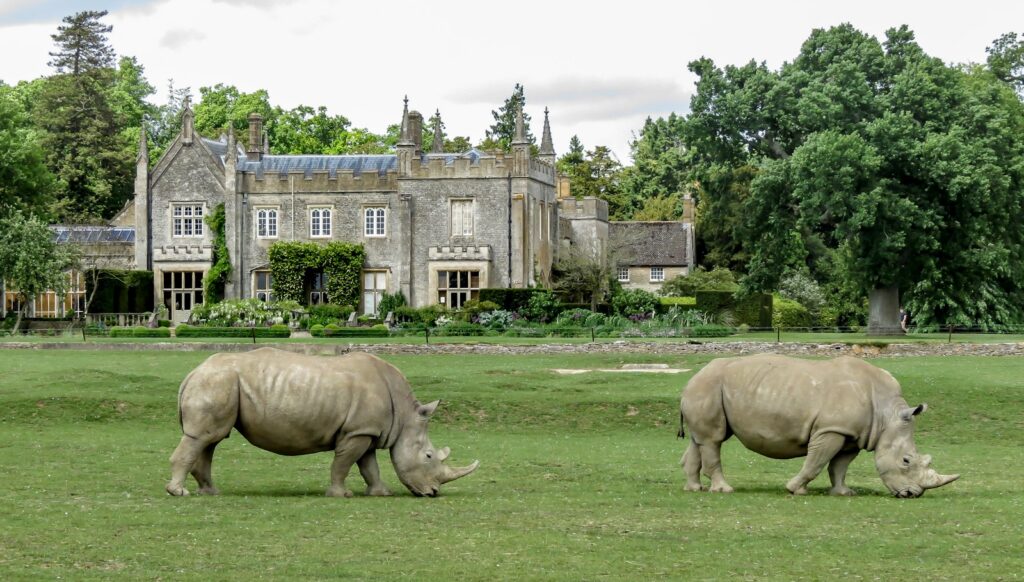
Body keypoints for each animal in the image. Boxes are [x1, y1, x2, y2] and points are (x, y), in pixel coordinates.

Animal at [166, 348, 479, 498]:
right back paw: (179, 493)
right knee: (202, 438)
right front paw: (342, 495)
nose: (433, 493)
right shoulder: (356, 432)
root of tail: (193, 372)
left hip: (220, 382)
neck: (404, 414)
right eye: (428, 456)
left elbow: (369, 466)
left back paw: (211, 492)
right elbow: (343, 464)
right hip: (217, 382)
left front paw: (381, 493)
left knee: (210, 439)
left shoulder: (365, 431)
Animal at [679, 354, 959, 498]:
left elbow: (839, 466)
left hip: (708, 388)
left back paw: (695, 488)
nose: (913, 494)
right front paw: (795, 490)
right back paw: (724, 490)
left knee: (700, 439)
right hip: (709, 385)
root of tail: (693, 376)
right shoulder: (831, 429)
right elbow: (816, 462)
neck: (886, 415)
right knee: (713, 439)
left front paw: (843, 492)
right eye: (906, 461)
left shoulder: (852, 434)